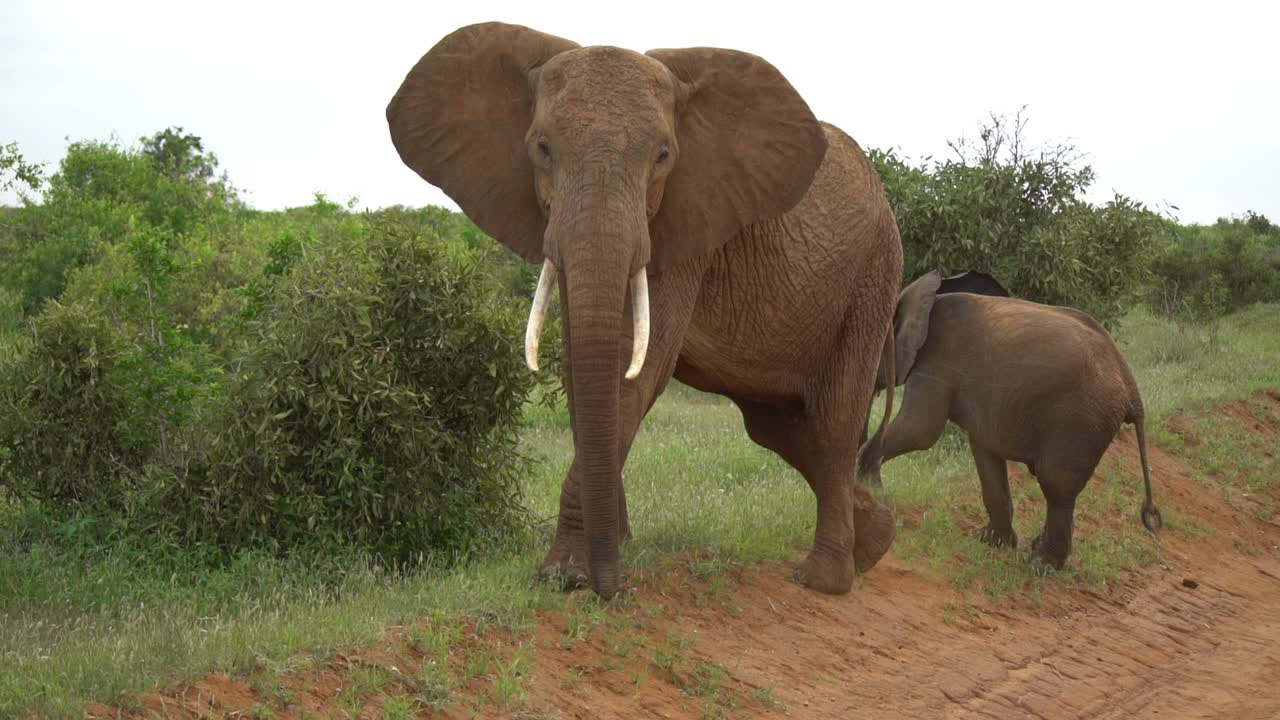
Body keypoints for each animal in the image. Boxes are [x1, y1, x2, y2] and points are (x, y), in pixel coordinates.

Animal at [386, 19, 901, 597]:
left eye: (663, 157)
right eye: (542, 148)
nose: (610, 587)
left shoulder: (689, 219)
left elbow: (637, 370)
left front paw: (568, 573)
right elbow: (583, 367)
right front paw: (594, 560)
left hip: (873, 277)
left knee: (833, 423)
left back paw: (824, 580)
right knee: (780, 429)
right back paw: (876, 540)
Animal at [860, 269, 1162, 566]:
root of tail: (1129, 381)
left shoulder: (938, 363)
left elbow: (920, 430)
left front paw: (866, 488)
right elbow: (985, 452)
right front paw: (990, 543)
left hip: (1082, 420)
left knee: (1056, 484)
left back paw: (1042, 564)